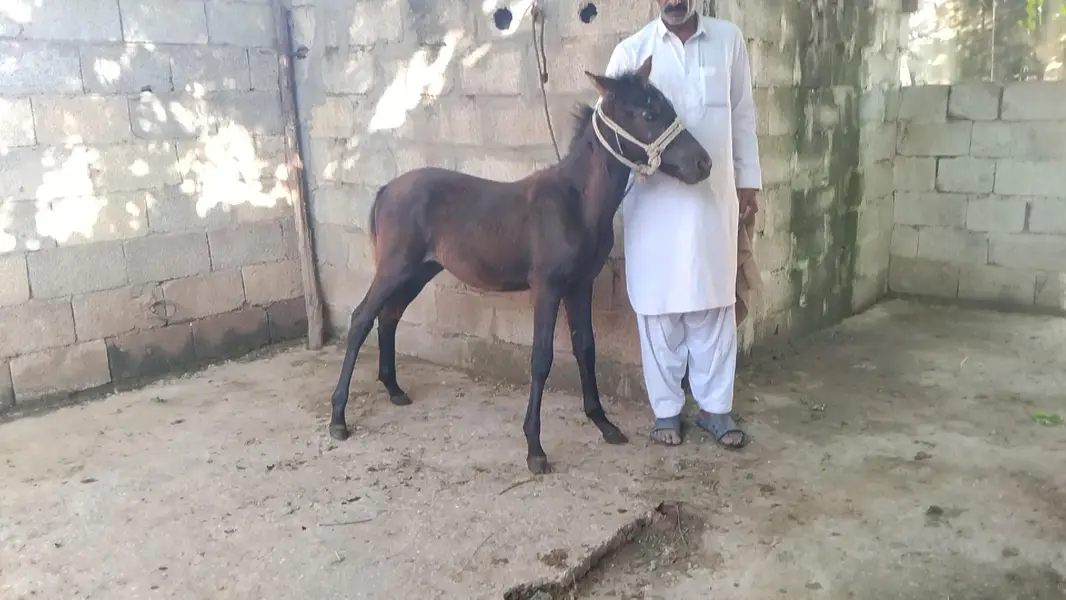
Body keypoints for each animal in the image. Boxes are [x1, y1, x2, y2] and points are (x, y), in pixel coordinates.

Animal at [327, 56, 712, 474]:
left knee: (389, 316)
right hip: (394, 267)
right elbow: (541, 358)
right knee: (362, 318)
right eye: (648, 113)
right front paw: (535, 449)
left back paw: (394, 390)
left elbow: (586, 347)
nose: (703, 162)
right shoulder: (546, 287)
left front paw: (604, 423)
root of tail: (386, 189)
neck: (576, 203)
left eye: (668, 106)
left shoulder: (580, 285)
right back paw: (338, 418)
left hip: (419, 271)